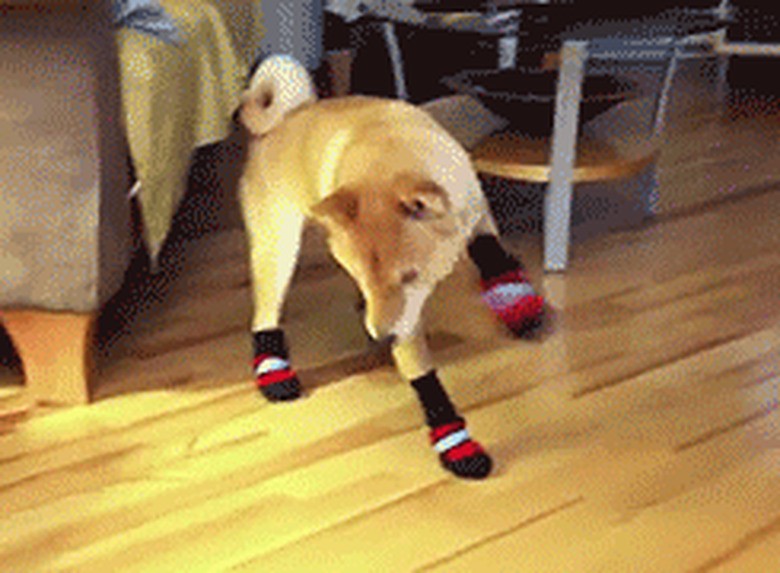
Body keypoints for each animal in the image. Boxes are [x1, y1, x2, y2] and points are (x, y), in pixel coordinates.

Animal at [238, 54, 544, 478]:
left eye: (410, 276)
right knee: (265, 313)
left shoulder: (478, 215)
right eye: (369, 278)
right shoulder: (405, 320)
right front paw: (454, 443)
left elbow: (492, 254)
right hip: (278, 249)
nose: (383, 339)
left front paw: (516, 300)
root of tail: (282, 121)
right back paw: (275, 369)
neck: (388, 150)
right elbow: (424, 378)